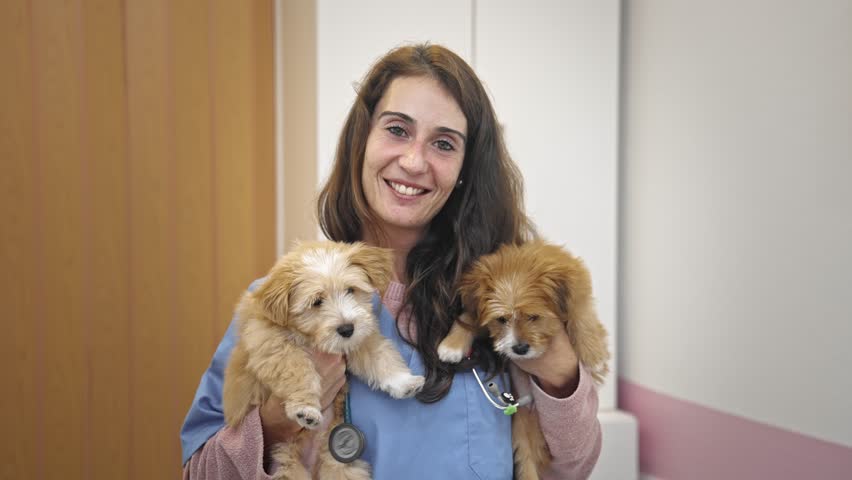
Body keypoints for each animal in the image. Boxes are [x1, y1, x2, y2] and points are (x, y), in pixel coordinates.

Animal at [225, 242, 426, 478]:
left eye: (350, 290)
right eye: (317, 302)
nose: (347, 329)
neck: (310, 337)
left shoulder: (360, 338)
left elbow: (381, 356)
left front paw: (404, 381)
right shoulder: (272, 346)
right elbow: (299, 370)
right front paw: (306, 407)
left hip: (340, 465)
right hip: (286, 463)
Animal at [440, 244, 604, 480]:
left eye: (534, 317)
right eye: (501, 319)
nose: (519, 349)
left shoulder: (578, 292)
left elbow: (581, 316)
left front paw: (594, 355)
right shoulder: (479, 311)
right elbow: (468, 316)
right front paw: (451, 345)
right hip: (522, 429)